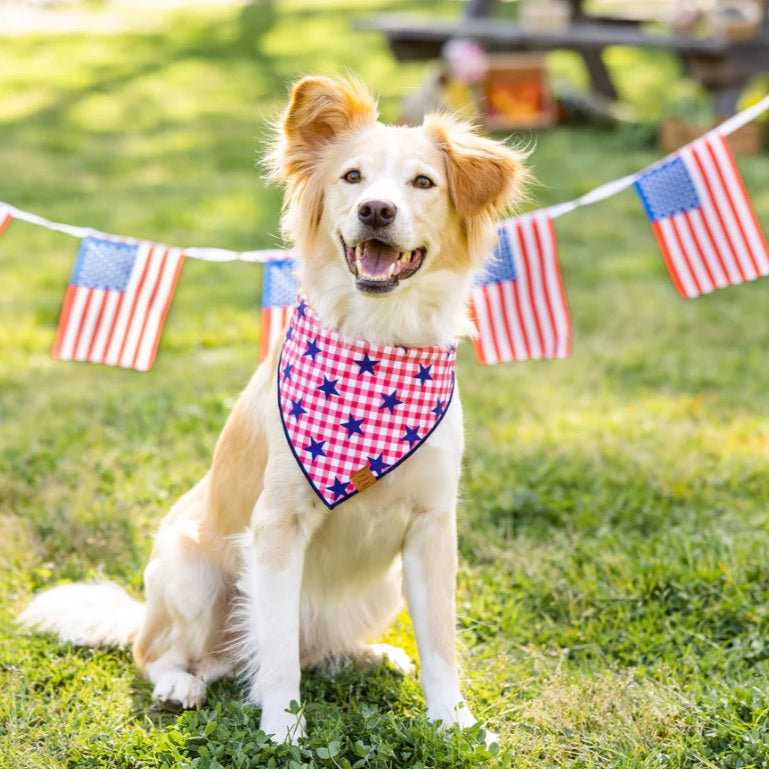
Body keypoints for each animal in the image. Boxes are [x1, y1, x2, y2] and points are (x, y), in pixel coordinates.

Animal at [22, 75, 528, 740]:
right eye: (352, 178)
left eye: (423, 183)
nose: (376, 211)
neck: (377, 341)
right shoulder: (277, 527)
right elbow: (279, 647)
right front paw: (283, 730)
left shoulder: (432, 526)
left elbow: (440, 645)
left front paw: (456, 724)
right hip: (190, 572)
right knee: (160, 652)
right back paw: (181, 683)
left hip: (384, 587)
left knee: (314, 649)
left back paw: (372, 655)